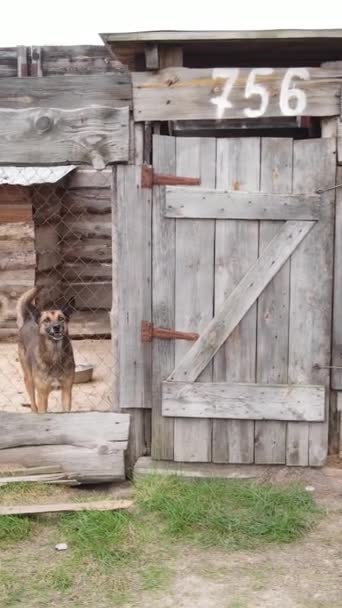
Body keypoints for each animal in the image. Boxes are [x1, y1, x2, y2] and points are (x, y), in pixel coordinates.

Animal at [16, 286, 75, 414]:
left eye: (61, 318)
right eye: (46, 320)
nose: (56, 327)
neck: (55, 355)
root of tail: (28, 319)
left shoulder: (67, 391)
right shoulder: (42, 395)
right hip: (29, 380)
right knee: (33, 404)